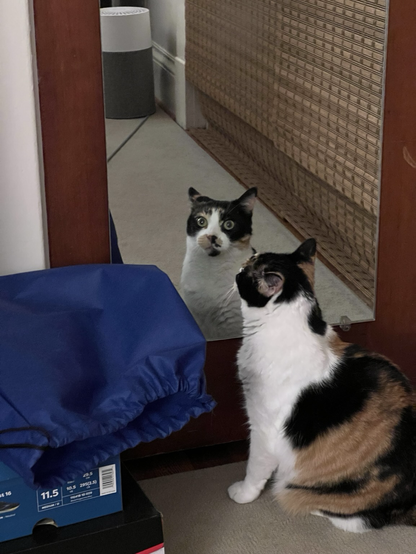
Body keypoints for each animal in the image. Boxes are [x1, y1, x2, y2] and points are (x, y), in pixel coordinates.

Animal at [229, 237, 416, 532]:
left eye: (246, 272)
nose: (240, 263)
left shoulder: (262, 429)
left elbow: (254, 468)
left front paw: (242, 494)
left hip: (312, 493)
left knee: (350, 519)